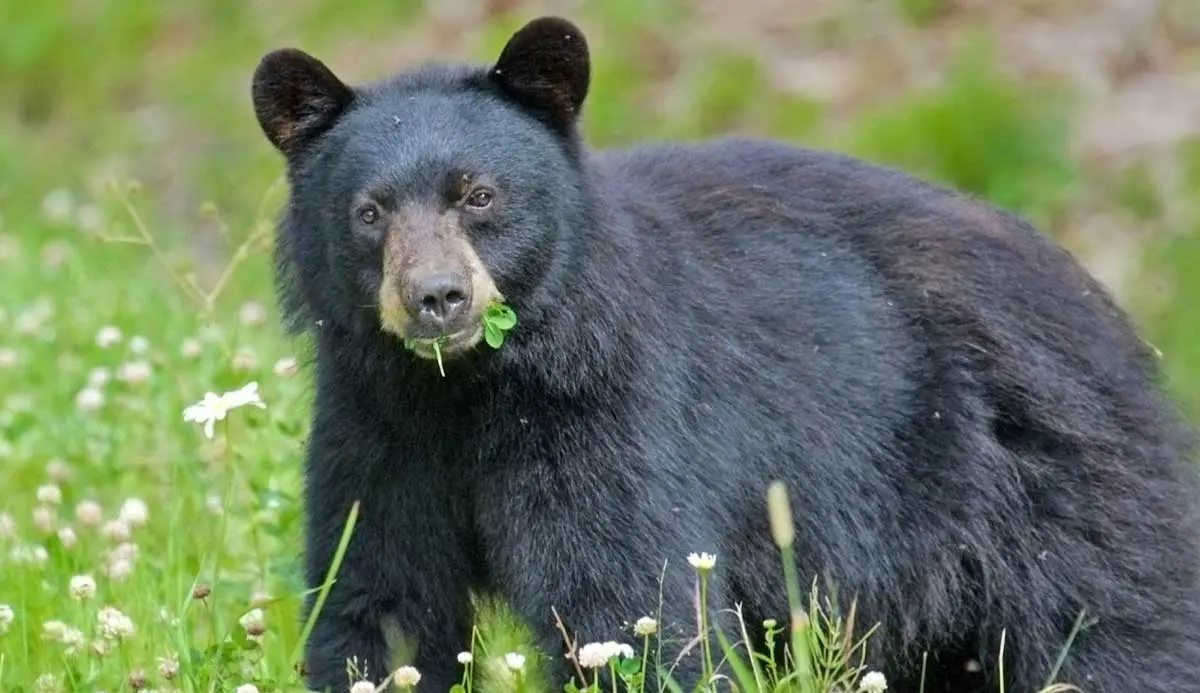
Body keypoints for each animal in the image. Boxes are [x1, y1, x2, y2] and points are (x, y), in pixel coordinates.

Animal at [248, 12, 1200, 690]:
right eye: (369, 211)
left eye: (478, 194)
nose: (438, 297)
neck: (470, 389)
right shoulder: (375, 427)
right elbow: (378, 599)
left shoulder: (613, 418)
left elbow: (626, 604)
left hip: (1052, 486)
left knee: (1116, 628)